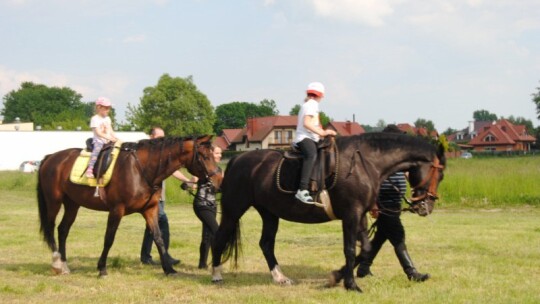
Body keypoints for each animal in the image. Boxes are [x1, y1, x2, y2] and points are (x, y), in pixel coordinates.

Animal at [37, 135, 221, 278]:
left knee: (63, 230)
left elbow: (158, 238)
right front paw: (102, 269)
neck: (141, 169)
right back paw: (57, 263)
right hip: (54, 202)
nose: (219, 180)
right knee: (51, 229)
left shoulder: (150, 210)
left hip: (72, 204)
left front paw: (169, 269)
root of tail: (50, 157)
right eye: (204, 156)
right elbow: (109, 239)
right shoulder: (116, 210)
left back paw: (64, 265)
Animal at [209, 132, 446, 292]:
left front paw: (337, 277)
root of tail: (237, 160)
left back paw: (280, 278)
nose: (426, 206)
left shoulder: (360, 216)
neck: (364, 162)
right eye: (440, 175)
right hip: (233, 210)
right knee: (219, 239)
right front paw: (350, 284)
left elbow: (366, 249)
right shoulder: (351, 215)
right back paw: (216, 274)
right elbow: (350, 249)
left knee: (266, 244)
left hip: (269, 213)